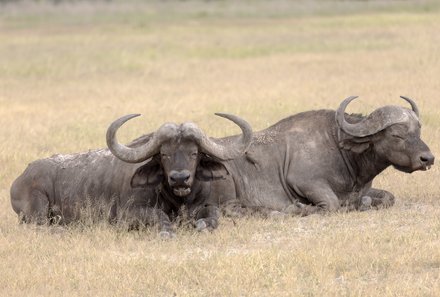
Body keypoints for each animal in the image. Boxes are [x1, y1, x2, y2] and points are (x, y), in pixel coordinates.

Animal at [9, 112, 251, 235]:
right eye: (164, 154)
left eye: (194, 153)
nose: (180, 178)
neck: (177, 200)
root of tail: (20, 178)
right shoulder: (126, 215)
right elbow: (158, 216)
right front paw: (166, 230)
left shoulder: (205, 206)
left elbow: (214, 215)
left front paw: (203, 225)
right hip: (37, 208)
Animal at [222, 96, 434, 214]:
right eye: (396, 135)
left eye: (418, 131)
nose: (428, 158)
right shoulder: (305, 181)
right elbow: (332, 204)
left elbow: (388, 197)